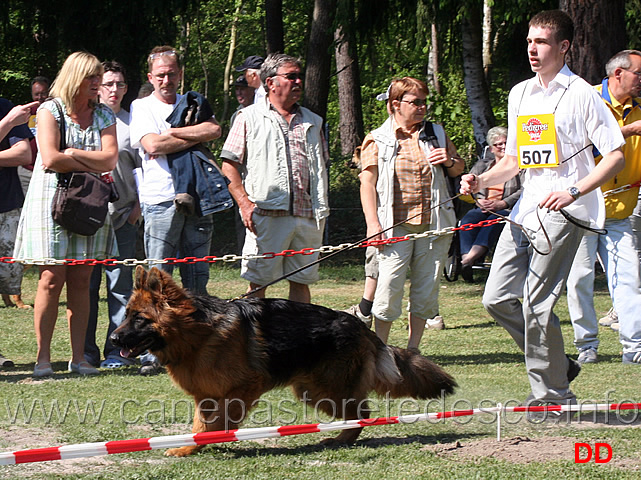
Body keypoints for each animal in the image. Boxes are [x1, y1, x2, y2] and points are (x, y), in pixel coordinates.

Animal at [112, 266, 458, 458]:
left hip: (324, 391)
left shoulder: (244, 387)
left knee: (362, 413)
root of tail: (362, 327)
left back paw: (342, 439)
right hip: (313, 391)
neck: (199, 332)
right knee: (359, 413)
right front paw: (190, 446)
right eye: (125, 316)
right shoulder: (207, 395)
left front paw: (209, 441)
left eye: (139, 319)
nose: (114, 339)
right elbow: (201, 425)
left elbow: (216, 423)